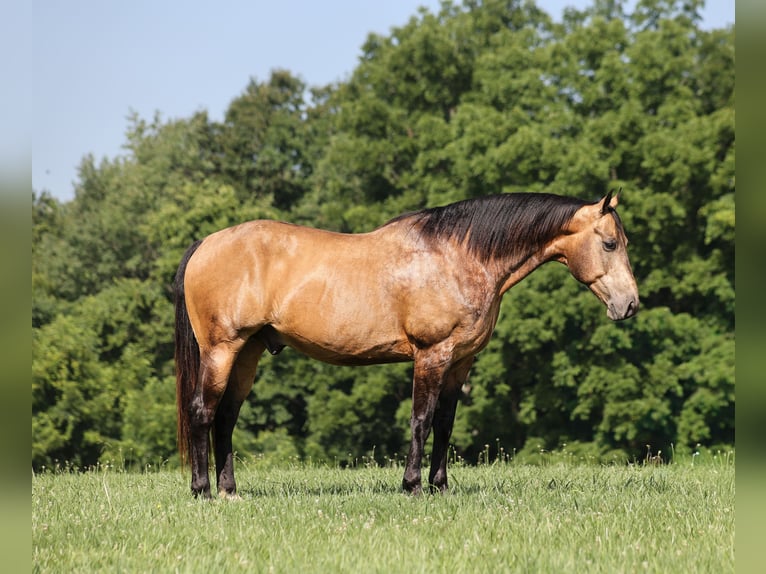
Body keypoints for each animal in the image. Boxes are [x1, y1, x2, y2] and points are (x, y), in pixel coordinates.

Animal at [174, 190, 638, 498]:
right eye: (610, 243)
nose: (630, 304)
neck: (457, 257)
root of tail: (205, 244)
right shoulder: (432, 356)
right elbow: (420, 419)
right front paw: (412, 486)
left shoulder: (460, 363)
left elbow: (444, 425)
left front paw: (440, 486)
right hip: (221, 350)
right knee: (203, 412)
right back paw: (203, 491)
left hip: (247, 353)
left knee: (226, 418)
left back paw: (230, 490)